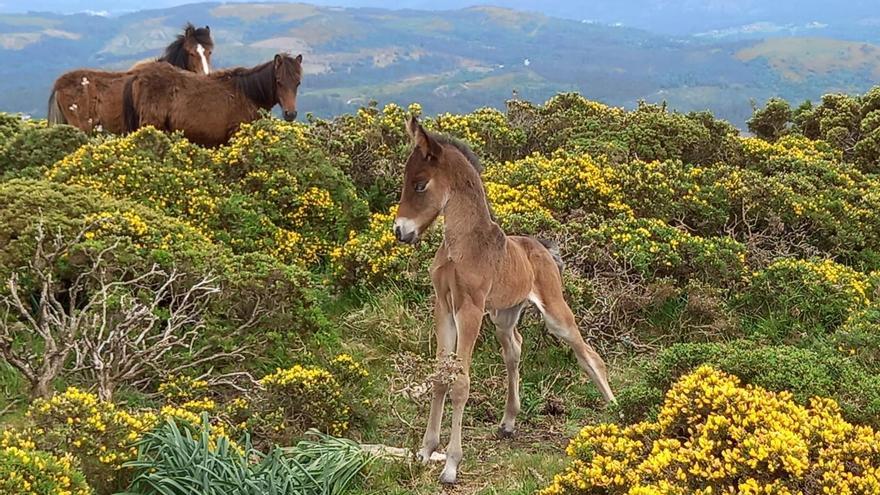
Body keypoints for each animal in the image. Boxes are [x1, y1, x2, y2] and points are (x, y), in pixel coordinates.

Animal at [396, 115, 616, 484]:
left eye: (420, 185)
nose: (400, 232)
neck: (462, 246)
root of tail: (544, 249)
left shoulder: (469, 310)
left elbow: (460, 382)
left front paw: (452, 465)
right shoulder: (444, 307)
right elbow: (441, 377)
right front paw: (426, 452)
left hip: (554, 311)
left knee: (588, 354)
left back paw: (616, 409)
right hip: (504, 315)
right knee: (515, 348)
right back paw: (509, 423)